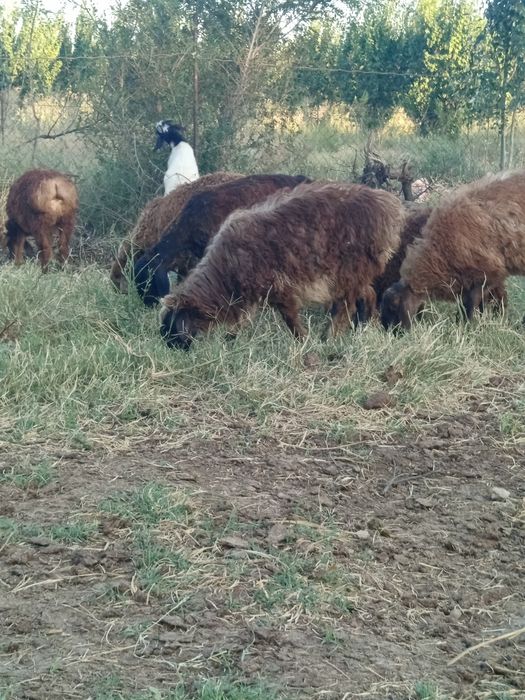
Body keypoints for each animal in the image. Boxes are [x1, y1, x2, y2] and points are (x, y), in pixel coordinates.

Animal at [159, 181, 405, 349]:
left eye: (174, 324)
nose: (169, 347)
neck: (224, 275)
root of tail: (390, 208)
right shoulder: (252, 294)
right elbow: (243, 320)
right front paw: (231, 340)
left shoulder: (279, 287)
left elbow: (290, 318)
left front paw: (303, 342)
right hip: (358, 274)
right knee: (369, 294)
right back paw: (363, 328)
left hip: (350, 270)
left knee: (345, 306)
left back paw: (329, 337)